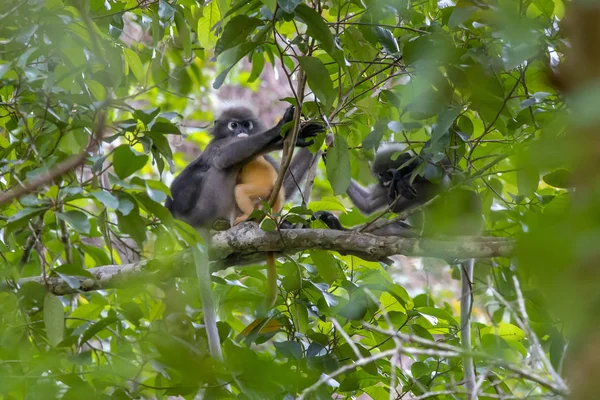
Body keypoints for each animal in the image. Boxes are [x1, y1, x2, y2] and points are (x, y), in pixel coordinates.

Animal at [164, 102, 324, 360]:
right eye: (233, 125)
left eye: (246, 124)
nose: (240, 131)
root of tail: (195, 225)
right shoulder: (217, 146)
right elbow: (224, 157)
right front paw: (280, 128)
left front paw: (298, 136)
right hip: (209, 205)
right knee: (223, 166)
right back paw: (235, 222)